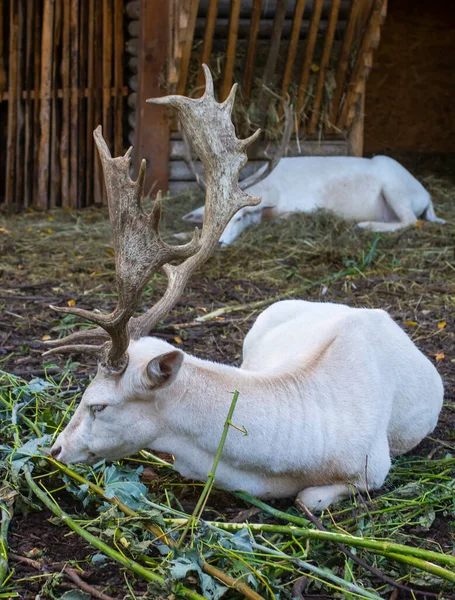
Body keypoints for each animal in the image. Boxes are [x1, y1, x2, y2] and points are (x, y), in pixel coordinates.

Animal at [183, 156, 448, 247]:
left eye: (238, 218)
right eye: (207, 220)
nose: (220, 243)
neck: (270, 189)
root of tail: (426, 196)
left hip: (395, 190)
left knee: (411, 220)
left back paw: (366, 225)